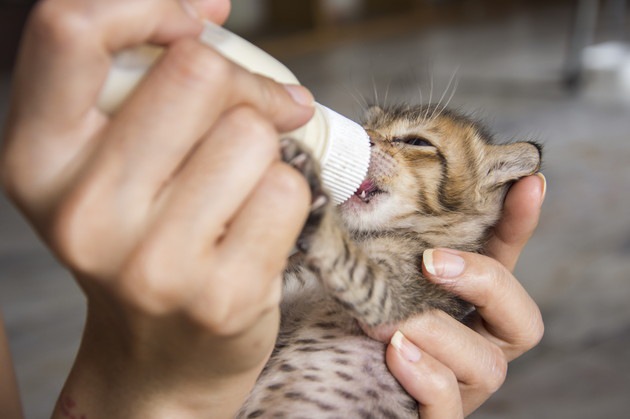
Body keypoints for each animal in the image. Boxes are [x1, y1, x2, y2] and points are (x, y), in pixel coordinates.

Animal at [237, 103, 544, 418]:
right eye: (366, 127)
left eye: (416, 141)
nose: (365, 138)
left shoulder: (391, 296)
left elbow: (347, 261)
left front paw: (313, 197)